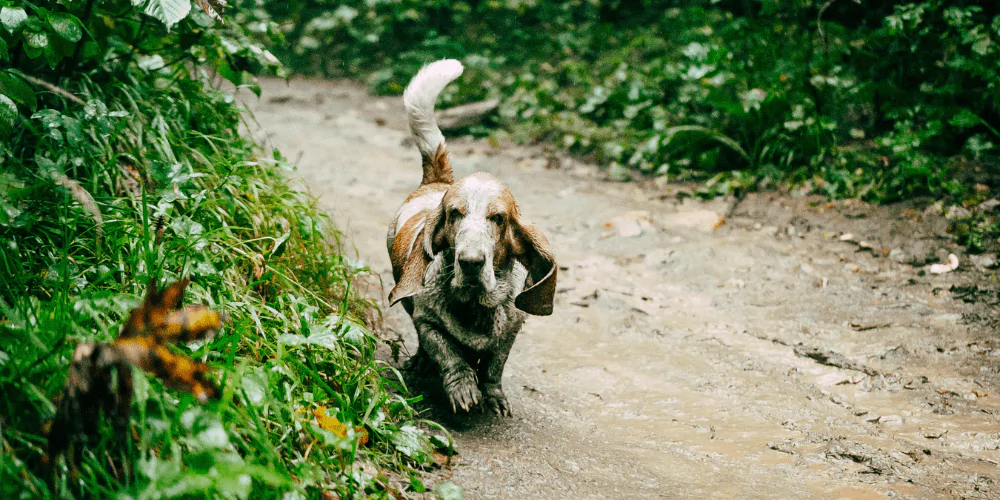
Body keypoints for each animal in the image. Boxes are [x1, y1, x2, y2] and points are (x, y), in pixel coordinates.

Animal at [384, 60, 560, 416]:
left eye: (498, 218)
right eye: (454, 214)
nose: (470, 263)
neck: (474, 306)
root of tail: (436, 180)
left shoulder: (510, 333)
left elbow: (494, 366)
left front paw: (493, 396)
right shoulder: (427, 322)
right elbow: (448, 354)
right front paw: (463, 388)